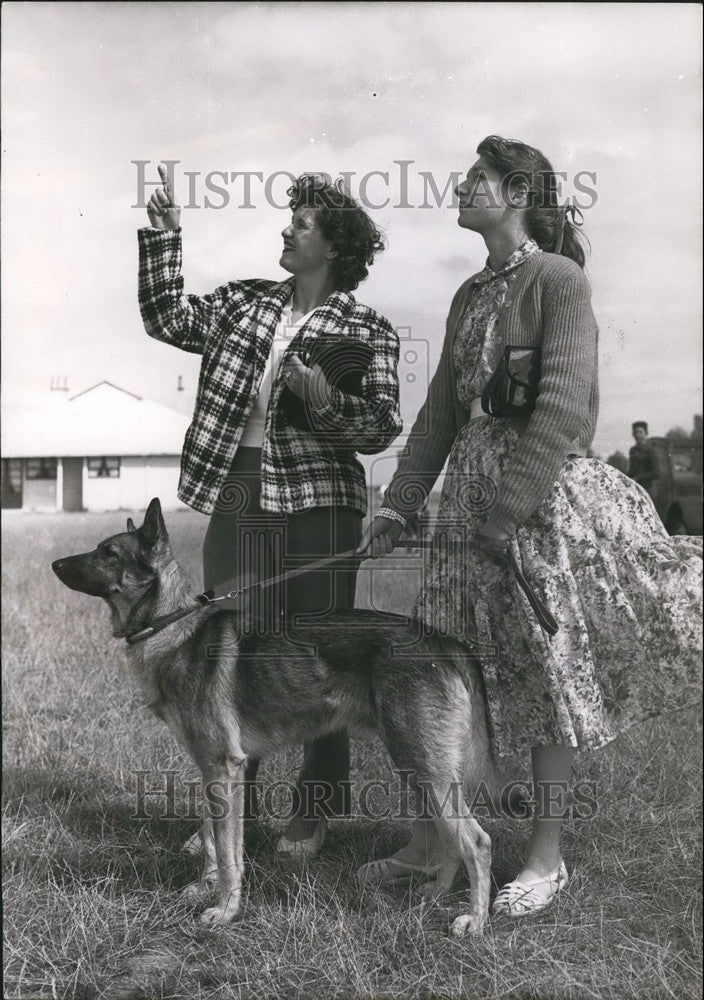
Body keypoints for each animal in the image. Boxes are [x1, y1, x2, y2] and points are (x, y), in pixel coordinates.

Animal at [52, 496, 498, 932]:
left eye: (109, 553)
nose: (55, 564)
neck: (171, 626)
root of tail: (446, 642)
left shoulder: (223, 767)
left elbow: (229, 854)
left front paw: (225, 910)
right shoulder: (211, 769)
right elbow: (212, 839)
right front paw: (205, 887)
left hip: (422, 766)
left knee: (476, 841)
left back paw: (475, 920)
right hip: (422, 770)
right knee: (449, 837)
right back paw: (437, 893)